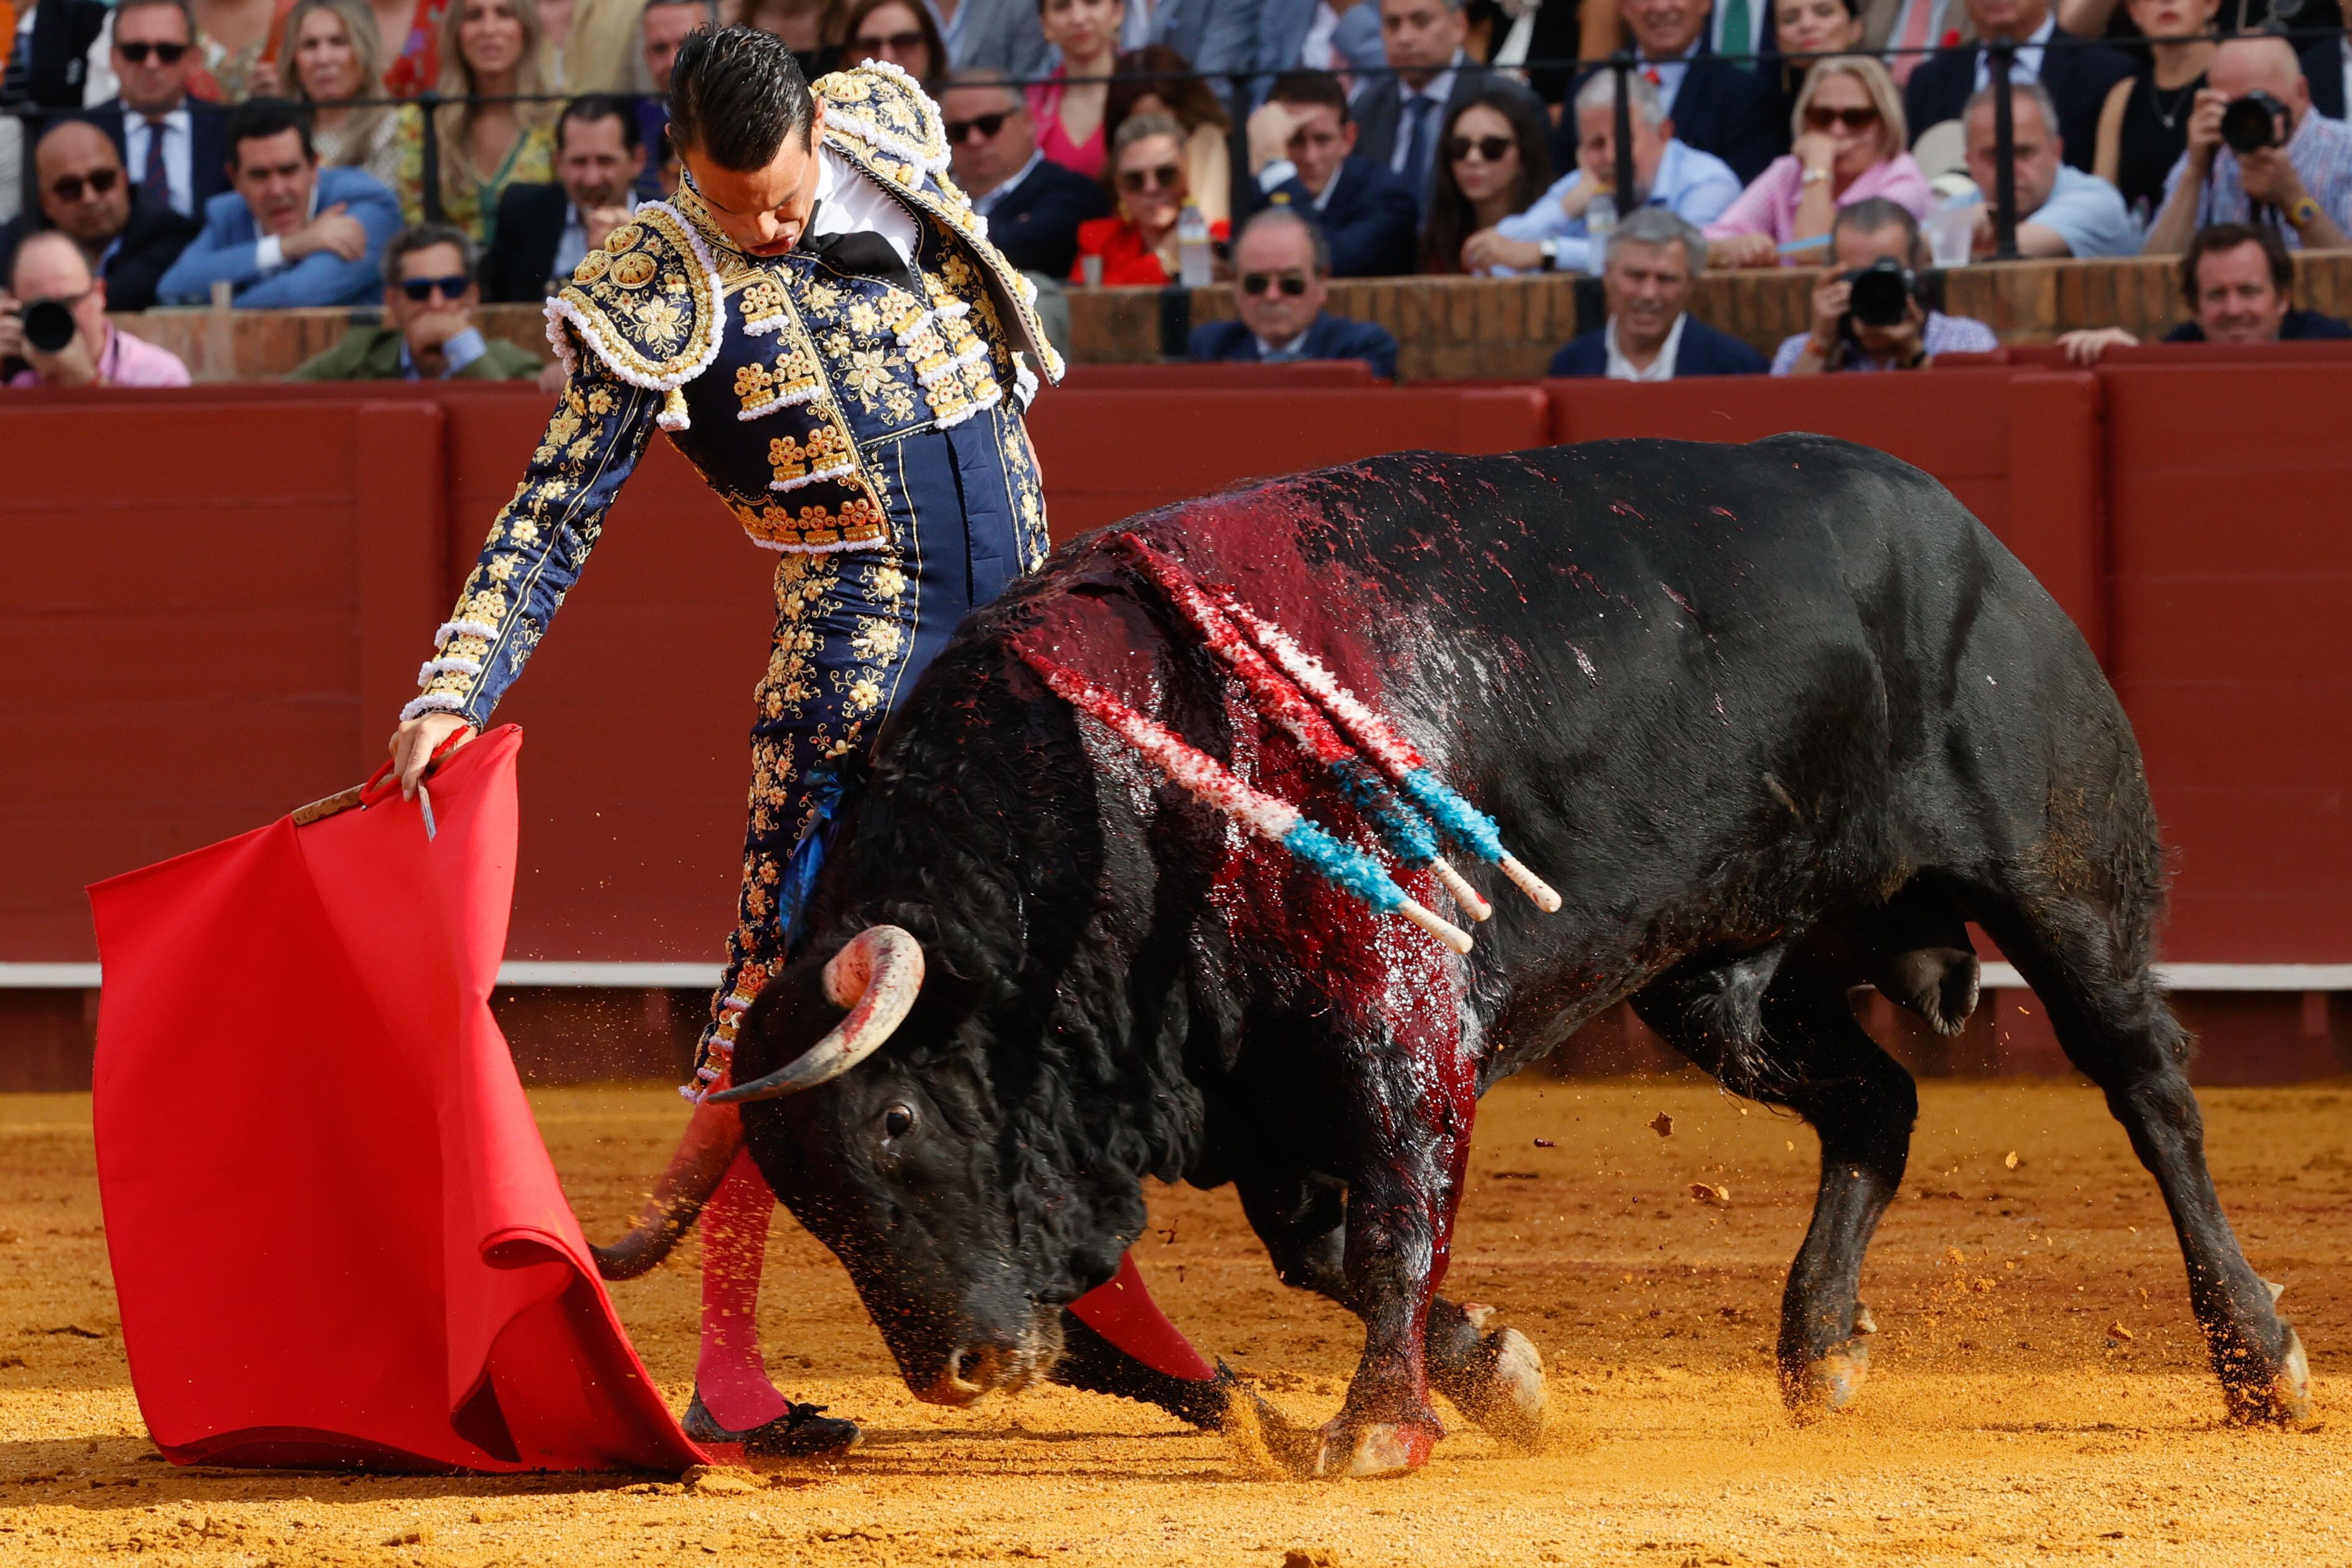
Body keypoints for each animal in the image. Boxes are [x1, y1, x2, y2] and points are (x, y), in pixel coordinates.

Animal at [687, 434, 2305, 1476]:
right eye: (804, 1195)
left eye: (898, 1119)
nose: (950, 1370)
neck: (1117, 794)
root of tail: (1967, 528)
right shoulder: (1254, 1083)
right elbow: (1326, 1244)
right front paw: (1502, 1382)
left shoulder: (1398, 1021)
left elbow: (1394, 1217)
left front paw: (1370, 1431)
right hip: (1718, 979)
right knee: (1874, 1101)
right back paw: (1815, 1347)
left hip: (2056, 879)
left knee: (2147, 1092)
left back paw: (2256, 1357)